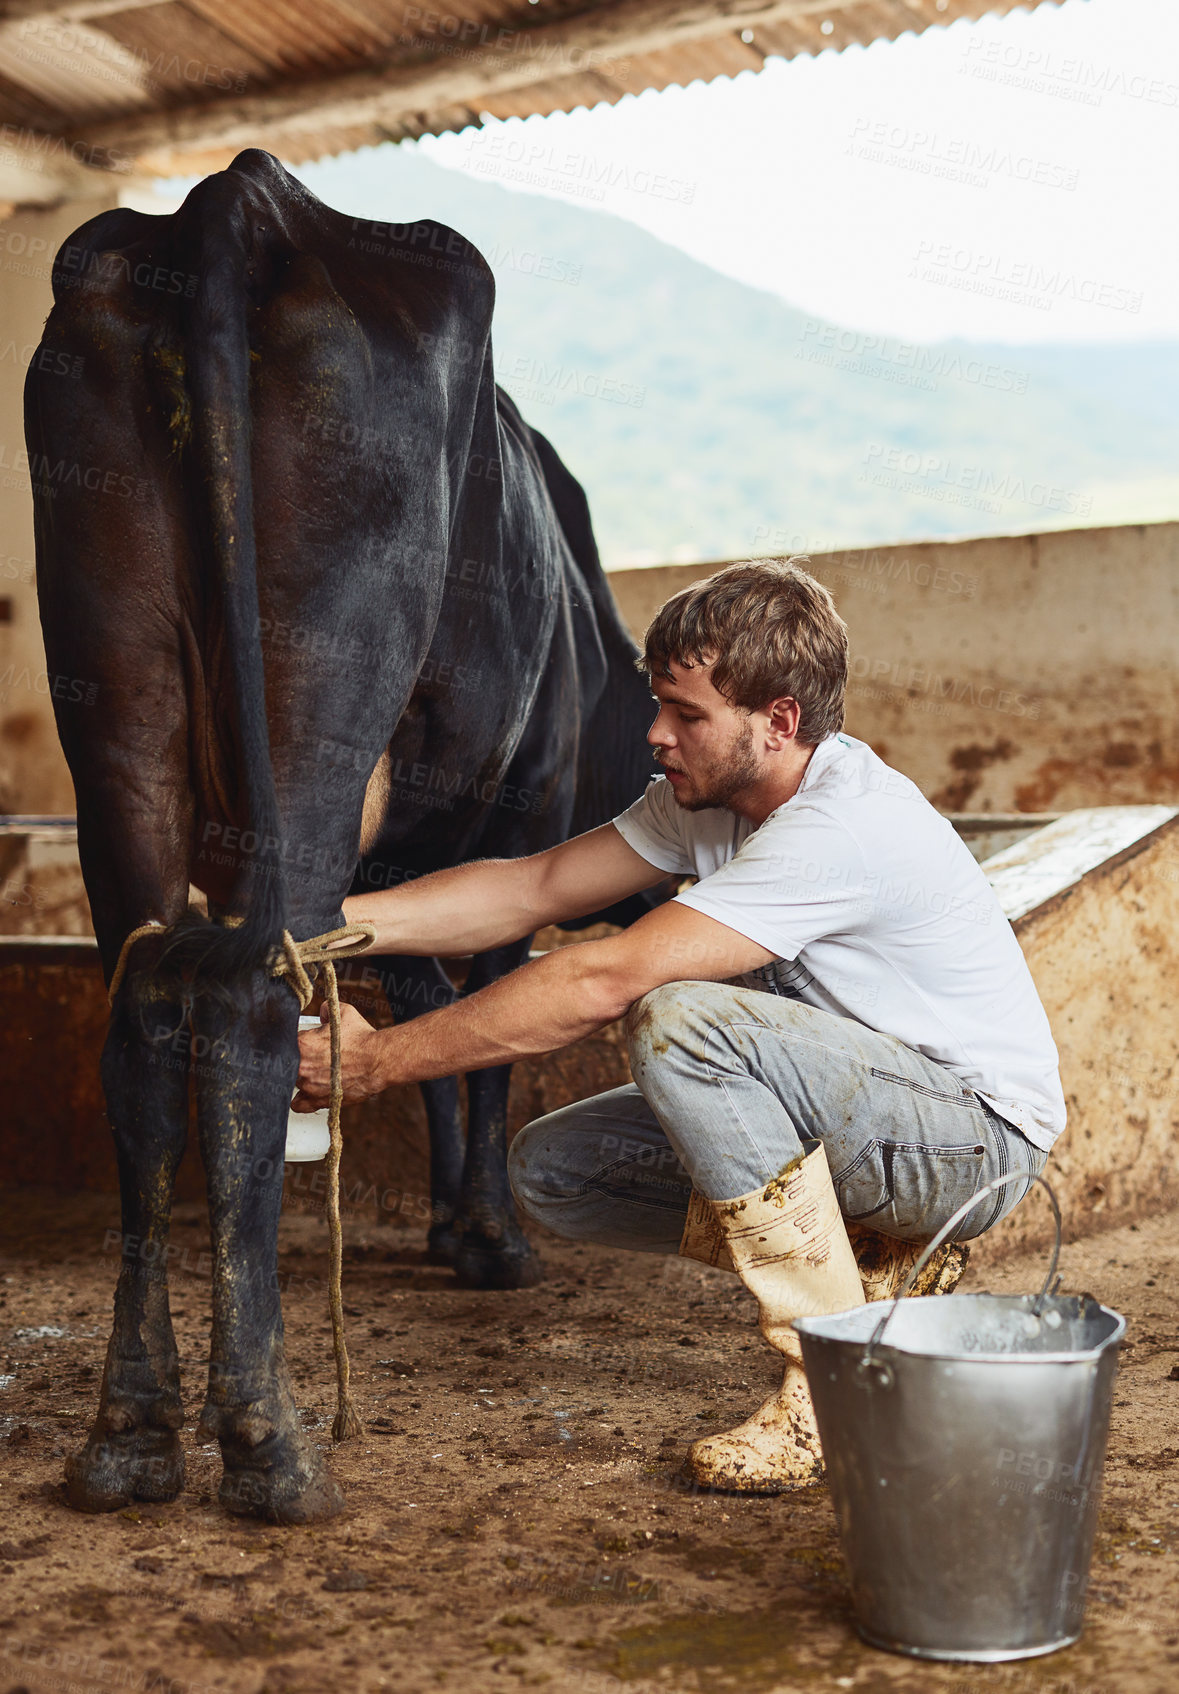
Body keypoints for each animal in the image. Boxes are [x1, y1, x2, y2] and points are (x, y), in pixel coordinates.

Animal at [25, 149, 664, 1524]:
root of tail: (237, 203)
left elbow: (425, 1009)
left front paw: (447, 1220)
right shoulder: (520, 818)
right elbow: (481, 1025)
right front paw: (488, 1236)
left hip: (116, 691)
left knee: (146, 1010)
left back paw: (131, 1428)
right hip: (320, 692)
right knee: (249, 1009)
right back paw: (266, 1438)